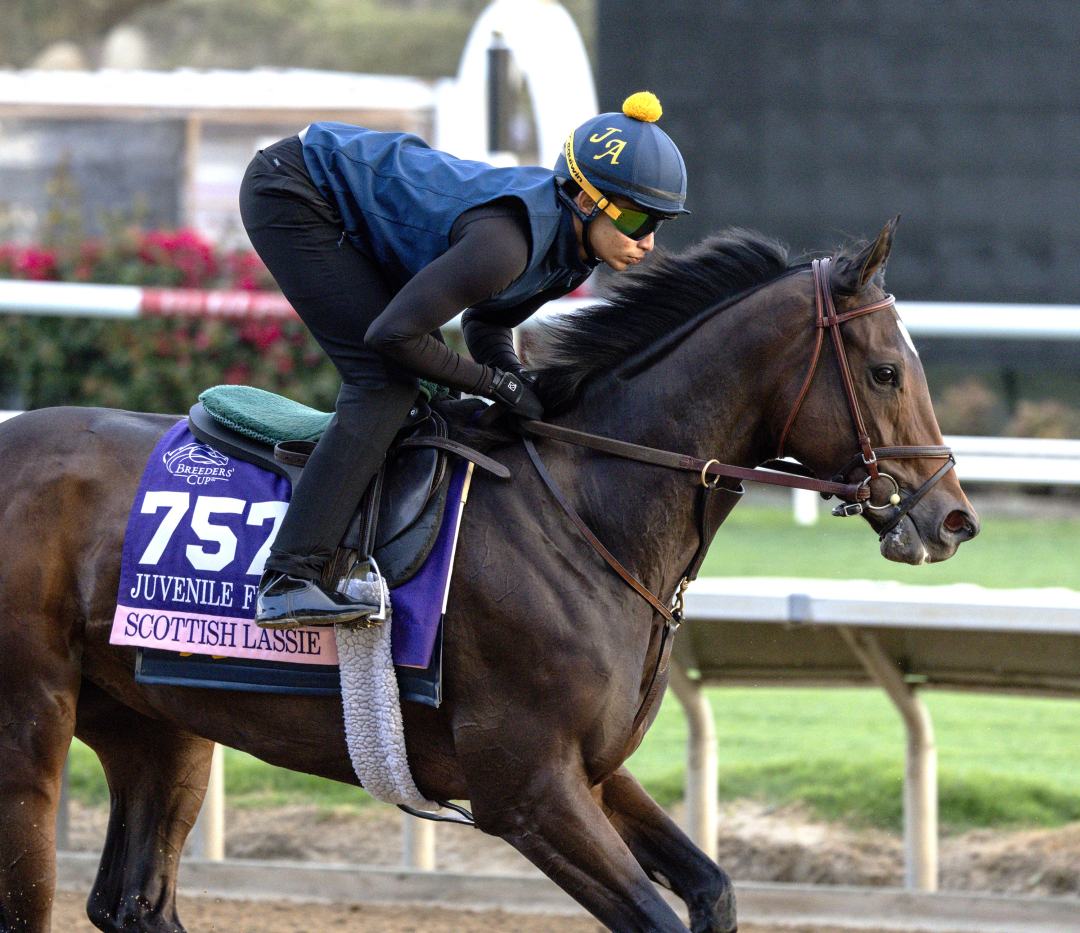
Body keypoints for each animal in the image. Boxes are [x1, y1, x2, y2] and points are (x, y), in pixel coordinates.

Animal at [0, 220, 980, 933]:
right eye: (886, 371)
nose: (951, 519)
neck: (585, 511)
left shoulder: (591, 767)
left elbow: (714, 890)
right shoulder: (526, 789)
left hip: (157, 722)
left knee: (132, 903)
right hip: (34, 718)